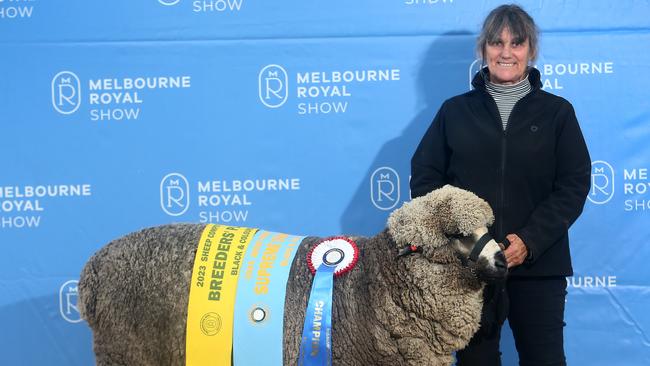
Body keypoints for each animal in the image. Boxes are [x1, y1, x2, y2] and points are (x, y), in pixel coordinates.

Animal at [78, 186, 506, 366]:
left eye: (487, 226)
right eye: (456, 234)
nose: (503, 260)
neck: (376, 282)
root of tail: (92, 271)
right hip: (127, 351)